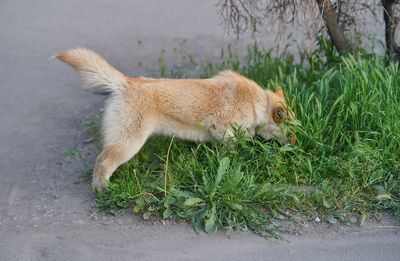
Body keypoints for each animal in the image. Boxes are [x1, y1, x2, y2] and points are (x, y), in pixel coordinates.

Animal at [56, 47, 296, 189]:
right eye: (291, 128)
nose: (296, 142)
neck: (256, 103)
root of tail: (125, 83)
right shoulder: (223, 131)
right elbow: (230, 152)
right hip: (128, 144)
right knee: (102, 163)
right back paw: (104, 191)